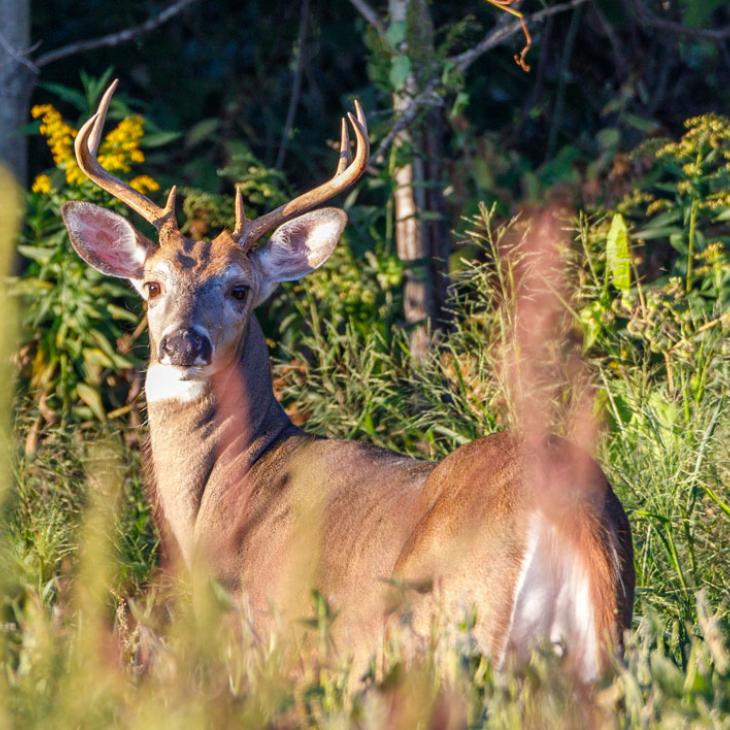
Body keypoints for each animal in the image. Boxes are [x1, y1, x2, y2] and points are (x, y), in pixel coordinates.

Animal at [61, 81, 634, 682]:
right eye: (151, 286)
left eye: (240, 289)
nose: (183, 345)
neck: (229, 484)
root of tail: (575, 513)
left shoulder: (268, 637)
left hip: (454, 622)